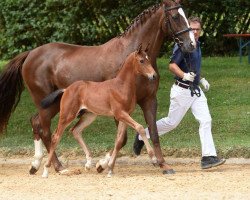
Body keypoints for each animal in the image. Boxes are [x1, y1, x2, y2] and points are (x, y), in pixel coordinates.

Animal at [42, 48, 157, 178]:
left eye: (148, 59)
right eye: (142, 60)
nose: (154, 75)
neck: (121, 86)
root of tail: (66, 89)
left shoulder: (125, 115)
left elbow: (119, 141)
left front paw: (110, 169)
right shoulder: (120, 114)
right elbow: (140, 128)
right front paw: (153, 159)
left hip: (89, 115)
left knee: (75, 130)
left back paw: (88, 163)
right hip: (67, 115)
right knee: (56, 137)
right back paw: (46, 170)